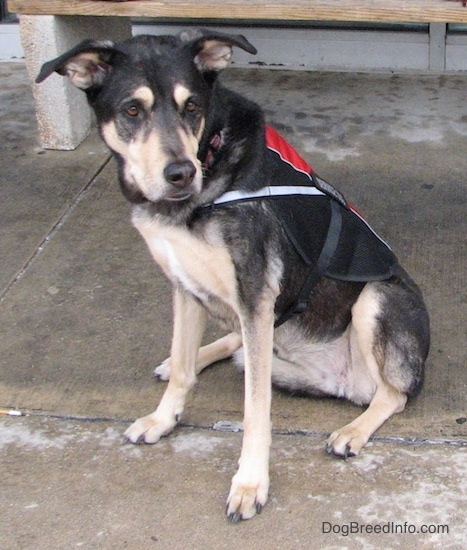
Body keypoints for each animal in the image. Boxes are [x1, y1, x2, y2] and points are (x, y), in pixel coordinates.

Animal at [37, 29, 432, 520]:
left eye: (192, 107)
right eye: (132, 110)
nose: (180, 173)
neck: (209, 163)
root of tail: (340, 382)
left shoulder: (254, 293)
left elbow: (254, 408)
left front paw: (250, 482)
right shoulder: (185, 286)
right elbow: (184, 368)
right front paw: (163, 418)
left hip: (375, 299)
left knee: (393, 392)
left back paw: (352, 430)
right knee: (233, 346)